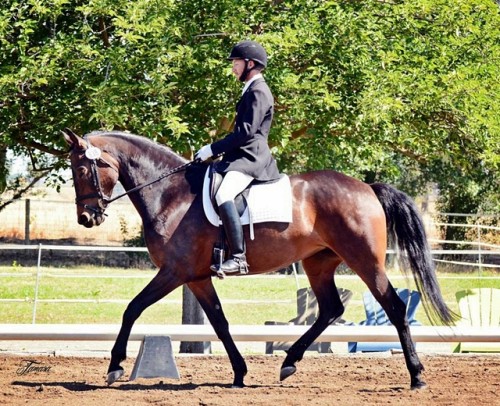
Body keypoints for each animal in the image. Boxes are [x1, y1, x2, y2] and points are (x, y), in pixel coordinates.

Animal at [61, 129, 454, 390]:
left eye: (80, 170)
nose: (87, 218)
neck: (169, 194)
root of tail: (367, 188)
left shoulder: (174, 272)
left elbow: (132, 309)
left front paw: (114, 367)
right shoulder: (197, 278)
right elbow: (219, 323)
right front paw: (239, 373)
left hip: (365, 261)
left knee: (394, 307)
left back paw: (417, 376)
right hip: (318, 263)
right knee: (330, 309)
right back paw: (289, 363)